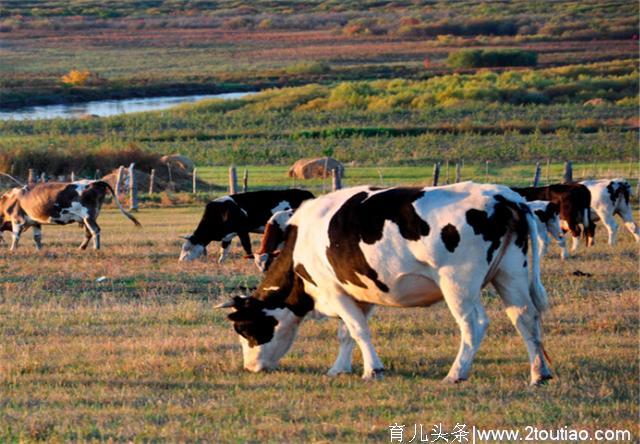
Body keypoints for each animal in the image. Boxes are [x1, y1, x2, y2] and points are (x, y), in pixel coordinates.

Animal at [0, 180, 141, 250]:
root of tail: (95, 182)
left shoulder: (17, 219)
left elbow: (15, 236)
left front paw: (12, 250)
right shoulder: (35, 221)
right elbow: (37, 237)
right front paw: (39, 250)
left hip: (88, 216)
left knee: (95, 231)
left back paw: (96, 248)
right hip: (88, 218)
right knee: (88, 233)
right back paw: (81, 248)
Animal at [179, 188, 314, 264]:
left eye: (189, 248)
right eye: (183, 247)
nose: (181, 261)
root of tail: (308, 194)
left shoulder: (242, 230)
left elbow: (246, 246)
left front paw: (249, 260)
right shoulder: (227, 235)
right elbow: (224, 249)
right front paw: (220, 262)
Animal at [214, 183, 552, 386]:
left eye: (245, 329)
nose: (250, 368)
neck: (301, 244)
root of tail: (504, 196)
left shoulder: (335, 291)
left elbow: (358, 330)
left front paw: (372, 369)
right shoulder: (358, 292)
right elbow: (346, 333)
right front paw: (339, 368)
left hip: (458, 284)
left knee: (474, 324)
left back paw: (456, 373)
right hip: (510, 273)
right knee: (525, 318)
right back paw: (539, 373)